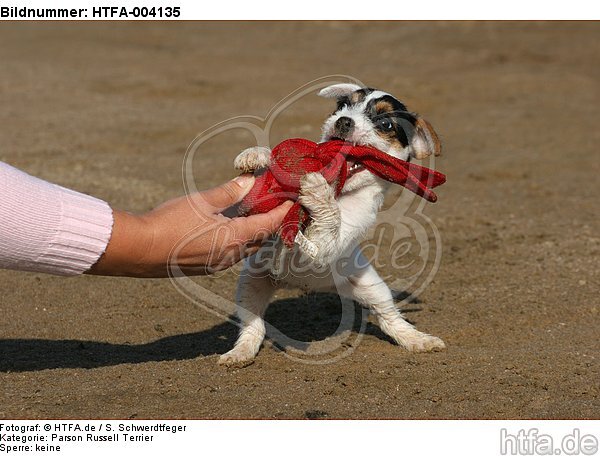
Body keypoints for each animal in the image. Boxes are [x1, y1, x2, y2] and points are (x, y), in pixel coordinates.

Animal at [220, 83, 446, 366]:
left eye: (385, 124)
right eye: (342, 106)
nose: (343, 121)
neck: (342, 191)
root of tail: (301, 286)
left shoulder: (328, 243)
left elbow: (330, 221)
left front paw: (318, 192)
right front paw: (257, 155)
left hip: (373, 288)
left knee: (389, 317)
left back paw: (417, 339)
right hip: (251, 285)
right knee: (254, 326)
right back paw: (240, 352)